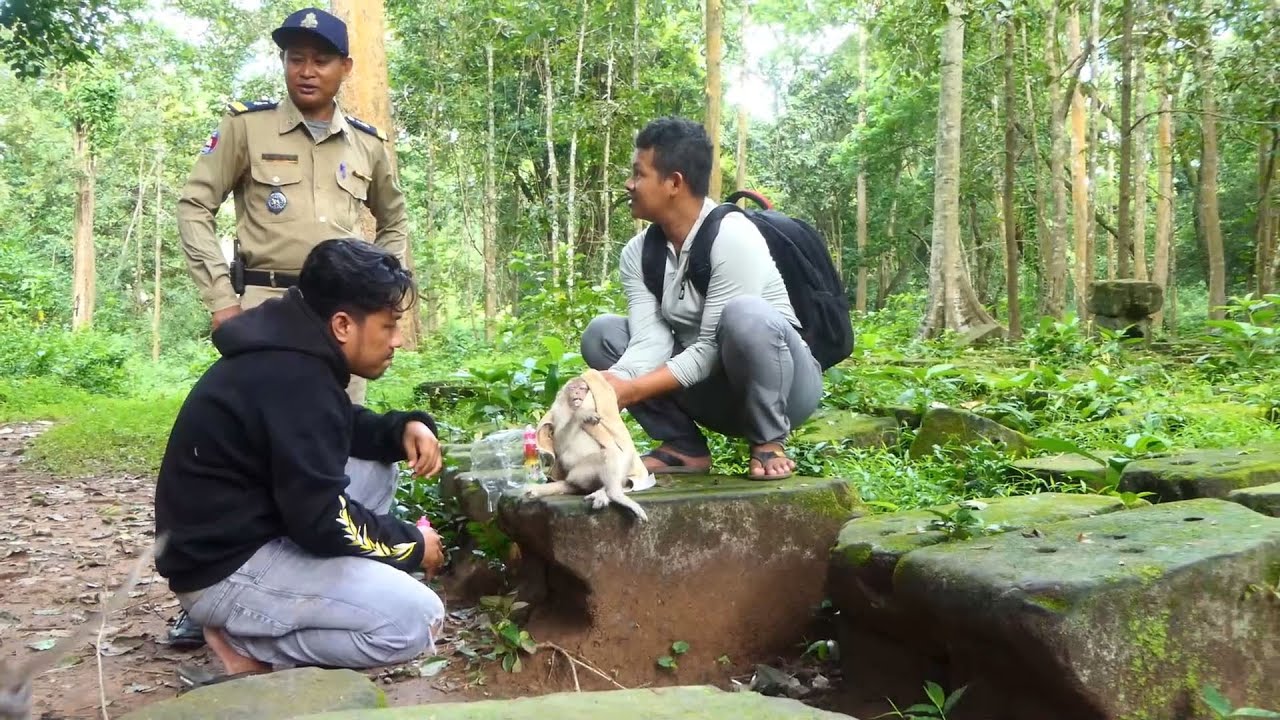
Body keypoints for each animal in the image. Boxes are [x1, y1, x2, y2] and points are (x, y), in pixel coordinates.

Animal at [525, 377, 648, 522]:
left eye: (582, 388)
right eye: (573, 387)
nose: (577, 392)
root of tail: (570, 480)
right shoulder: (559, 411)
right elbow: (560, 445)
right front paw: (581, 415)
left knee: (618, 455)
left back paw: (605, 492)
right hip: (579, 474)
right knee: (606, 456)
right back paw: (614, 494)